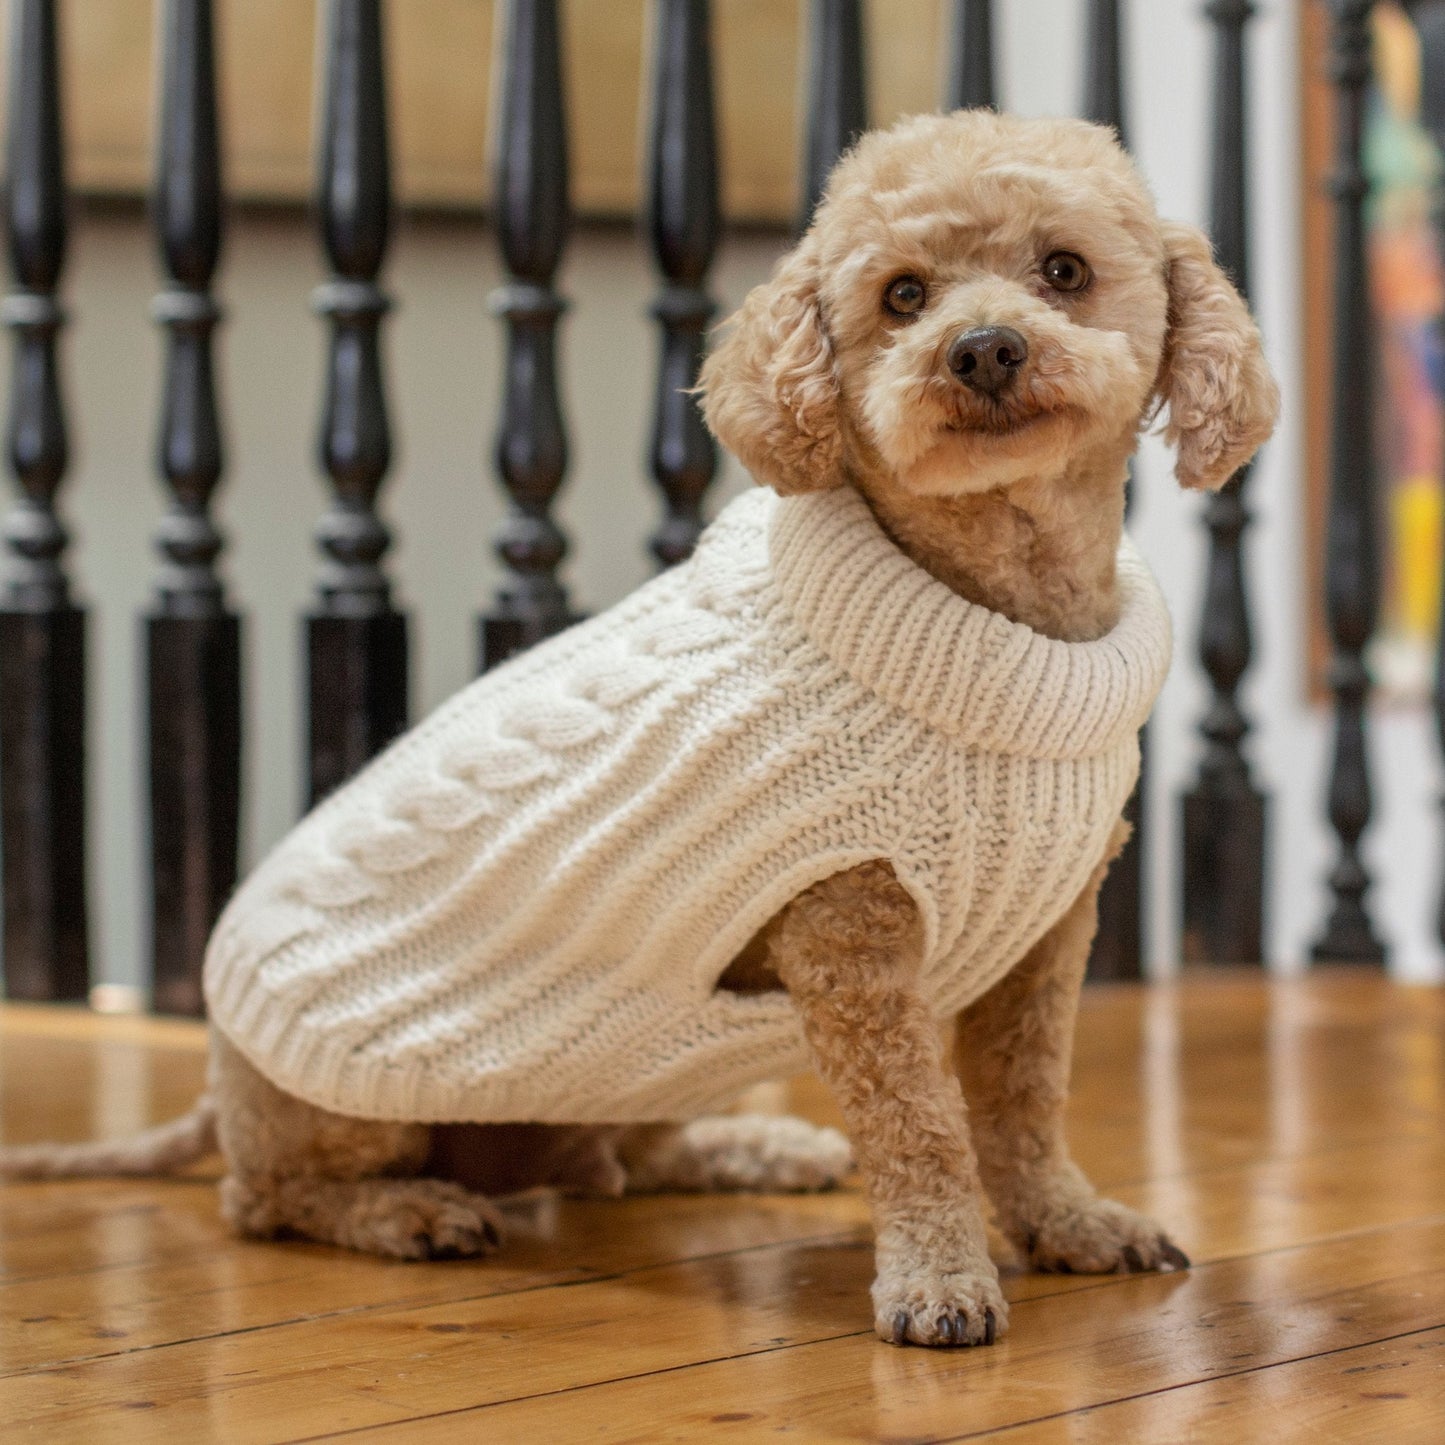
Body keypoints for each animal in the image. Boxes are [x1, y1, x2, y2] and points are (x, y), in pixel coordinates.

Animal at [2, 106, 1277, 1346]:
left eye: (1063, 270)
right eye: (902, 295)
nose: (983, 348)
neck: (990, 610)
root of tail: (216, 1076)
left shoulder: (1047, 934)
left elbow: (1021, 1103)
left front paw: (1069, 1220)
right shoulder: (853, 943)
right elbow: (921, 1128)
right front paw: (938, 1280)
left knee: (624, 1158)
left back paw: (756, 1148)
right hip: (341, 1105)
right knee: (263, 1198)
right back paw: (410, 1211)